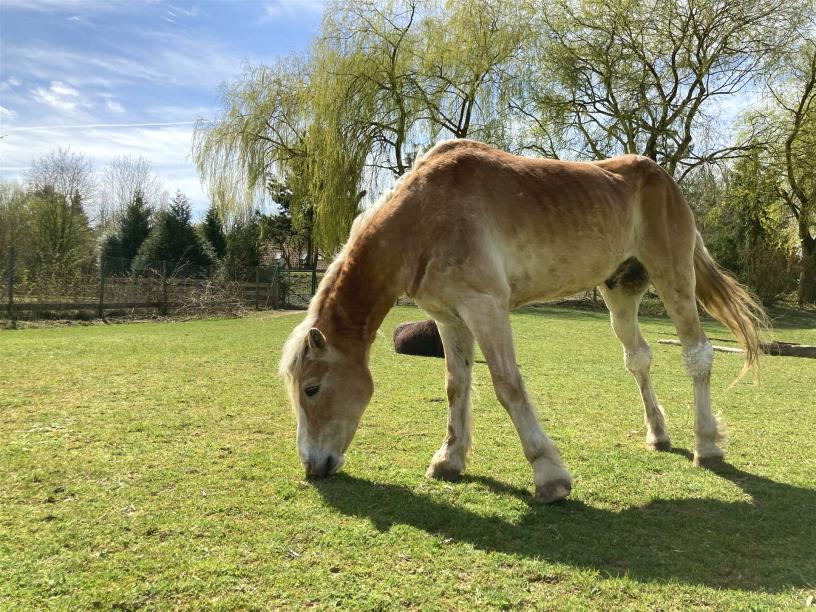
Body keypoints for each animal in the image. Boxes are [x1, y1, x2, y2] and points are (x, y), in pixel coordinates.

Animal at [280, 140, 766, 503]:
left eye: (312, 388)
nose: (311, 466)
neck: (424, 217)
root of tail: (662, 177)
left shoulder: (485, 308)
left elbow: (508, 386)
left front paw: (549, 476)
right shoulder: (449, 318)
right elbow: (456, 386)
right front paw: (449, 459)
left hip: (674, 277)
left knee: (697, 355)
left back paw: (707, 445)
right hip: (621, 292)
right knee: (639, 359)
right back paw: (659, 435)